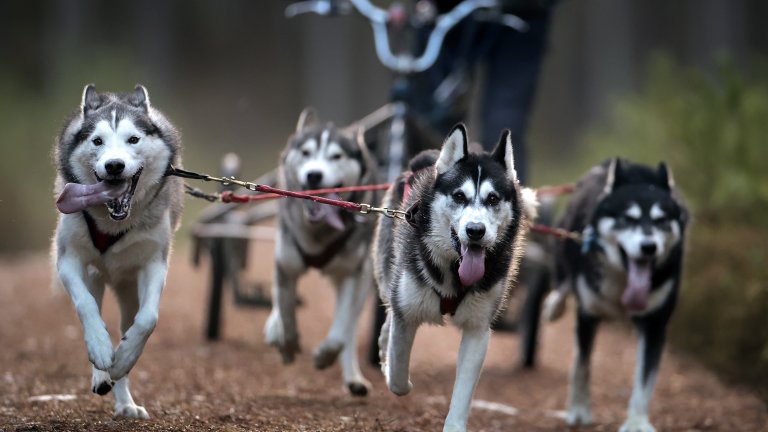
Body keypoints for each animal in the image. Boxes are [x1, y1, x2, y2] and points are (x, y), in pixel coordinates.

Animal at [53, 84, 184, 418]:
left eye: (133, 139)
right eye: (97, 141)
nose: (114, 165)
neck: (112, 224)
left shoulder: (154, 263)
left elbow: (148, 319)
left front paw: (124, 358)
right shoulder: (69, 259)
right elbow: (86, 307)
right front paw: (101, 348)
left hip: (129, 290)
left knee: (129, 323)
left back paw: (125, 399)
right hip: (95, 277)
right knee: (95, 310)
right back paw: (102, 372)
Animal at [266, 108, 380, 394]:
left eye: (336, 156)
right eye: (306, 152)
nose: (314, 175)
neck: (318, 232)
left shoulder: (351, 275)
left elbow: (340, 332)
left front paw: (324, 356)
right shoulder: (286, 265)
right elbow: (286, 311)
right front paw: (287, 344)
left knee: (350, 328)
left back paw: (354, 378)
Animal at [372, 123, 536, 430]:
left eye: (493, 198)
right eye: (459, 196)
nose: (475, 231)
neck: (453, 271)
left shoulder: (478, 329)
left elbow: (462, 393)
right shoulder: (406, 314)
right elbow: (398, 375)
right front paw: (395, 375)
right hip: (390, 274)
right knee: (389, 310)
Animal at [544, 159, 688, 432]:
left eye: (661, 220)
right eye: (628, 219)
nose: (649, 246)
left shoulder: (655, 324)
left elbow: (644, 380)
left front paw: (637, 422)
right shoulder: (587, 314)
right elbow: (581, 366)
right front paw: (578, 411)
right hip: (565, 245)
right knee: (563, 283)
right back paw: (552, 306)